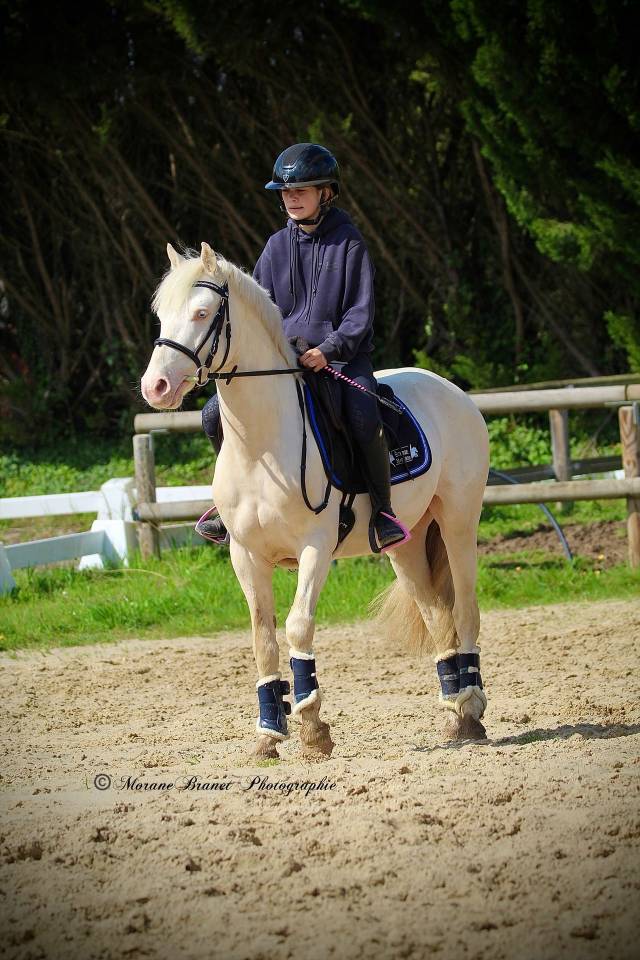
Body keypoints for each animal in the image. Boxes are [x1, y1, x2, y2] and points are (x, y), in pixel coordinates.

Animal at [141, 242, 490, 758]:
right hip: (405, 546)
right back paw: (457, 715)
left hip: (458, 525)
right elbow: (262, 637)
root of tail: (452, 391)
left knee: (465, 610)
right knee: (436, 616)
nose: (156, 387)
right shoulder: (245, 554)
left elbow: (297, 625)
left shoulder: (315, 548)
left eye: (202, 313)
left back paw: (473, 709)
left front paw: (311, 726)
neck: (261, 445)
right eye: (162, 315)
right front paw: (268, 733)